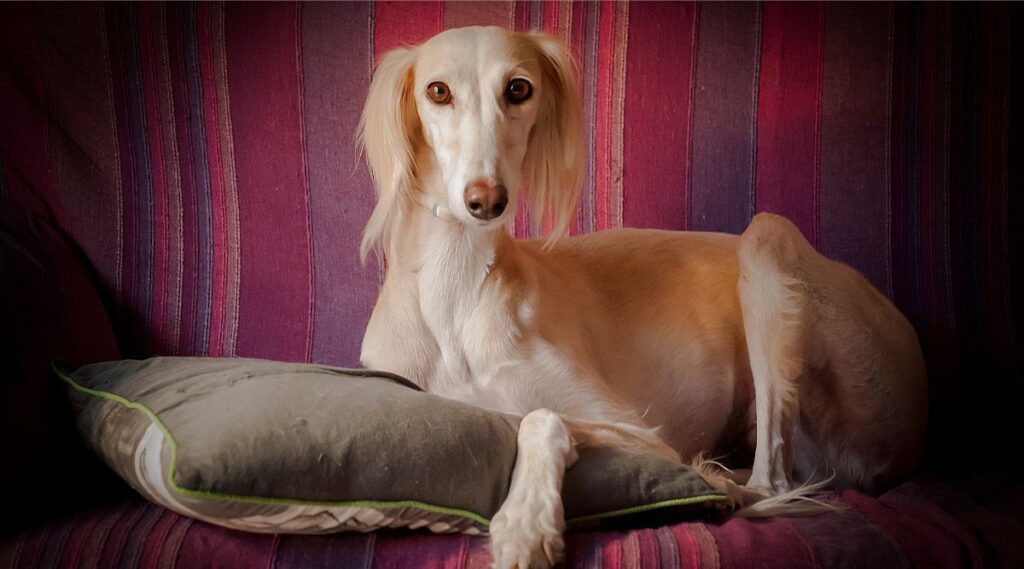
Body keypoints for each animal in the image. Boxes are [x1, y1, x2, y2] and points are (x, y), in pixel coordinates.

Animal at [354, 26, 929, 569]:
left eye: (519, 88)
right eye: (437, 91)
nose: (486, 200)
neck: (457, 295)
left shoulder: (641, 434)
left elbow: (536, 416)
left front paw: (525, 522)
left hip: (770, 239)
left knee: (772, 482)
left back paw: (720, 482)